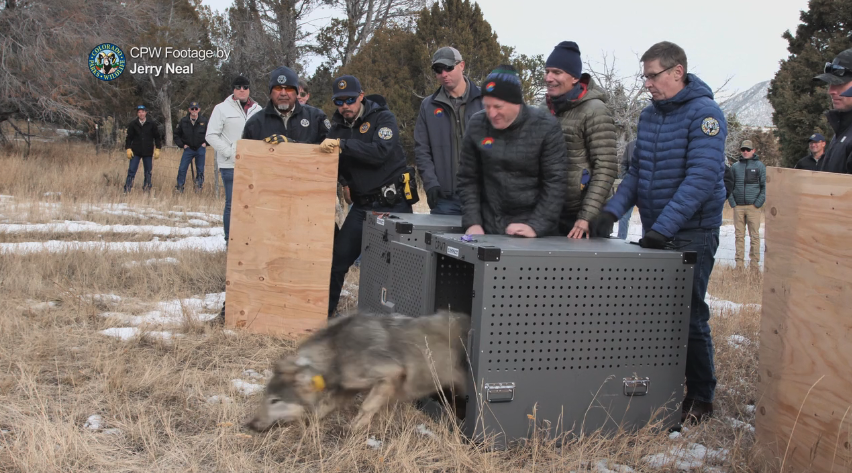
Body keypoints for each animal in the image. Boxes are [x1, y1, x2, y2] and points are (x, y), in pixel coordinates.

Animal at [246, 310, 470, 432]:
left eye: (275, 400)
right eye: (266, 396)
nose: (250, 425)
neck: (335, 350)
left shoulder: (390, 374)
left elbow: (366, 406)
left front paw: (353, 429)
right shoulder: (348, 386)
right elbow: (324, 406)